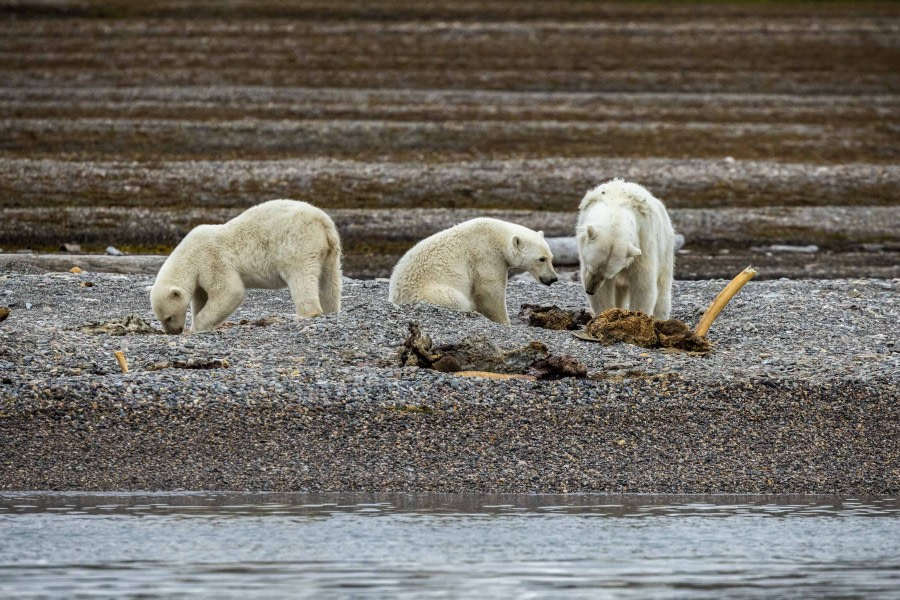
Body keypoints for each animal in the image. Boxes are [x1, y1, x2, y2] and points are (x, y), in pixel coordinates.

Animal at [151, 200, 342, 332]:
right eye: (160, 318)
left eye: (168, 317)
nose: (174, 332)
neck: (189, 254)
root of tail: (322, 222)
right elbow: (201, 297)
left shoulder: (212, 259)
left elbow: (230, 291)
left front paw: (197, 327)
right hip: (330, 252)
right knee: (329, 281)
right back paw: (330, 310)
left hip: (297, 244)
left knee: (300, 276)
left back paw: (305, 314)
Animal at [390, 218, 560, 326]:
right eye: (541, 259)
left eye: (551, 257)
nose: (553, 278)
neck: (498, 235)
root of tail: (396, 297)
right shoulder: (486, 254)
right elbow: (490, 290)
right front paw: (505, 321)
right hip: (432, 292)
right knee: (456, 299)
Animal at [576, 178, 676, 318]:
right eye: (591, 268)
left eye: (607, 275)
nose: (590, 290)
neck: (615, 207)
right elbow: (603, 292)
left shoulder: (643, 240)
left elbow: (643, 283)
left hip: (666, 246)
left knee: (663, 287)